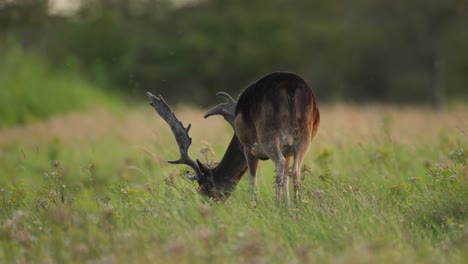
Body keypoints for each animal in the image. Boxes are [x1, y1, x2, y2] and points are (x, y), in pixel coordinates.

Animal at [148, 72, 320, 206]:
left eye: (204, 186)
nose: (205, 203)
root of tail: (291, 89)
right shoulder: (288, 150)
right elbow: (286, 176)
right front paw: (288, 206)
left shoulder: (249, 147)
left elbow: (252, 180)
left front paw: (254, 205)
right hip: (305, 136)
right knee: (295, 171)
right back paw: (296, 207)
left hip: (268, 134)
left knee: (279, 163)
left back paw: (277, 205)